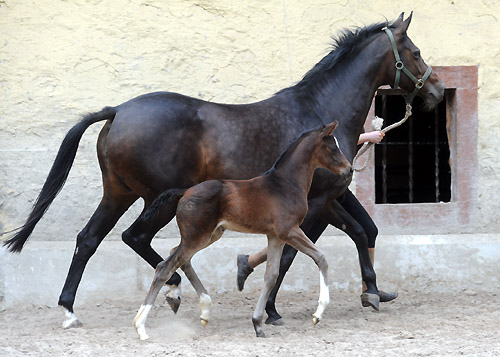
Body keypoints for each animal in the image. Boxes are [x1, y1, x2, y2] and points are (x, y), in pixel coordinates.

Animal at [133, 120, 352, 340]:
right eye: (332, 147)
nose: (349, 169)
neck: (286, 184)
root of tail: (184, 192)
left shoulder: (275, 236)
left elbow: (271, 275)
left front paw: (258, 324)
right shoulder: (289, 231)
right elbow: (321, 258)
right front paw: (318, 314)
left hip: (208, 235)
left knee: (179, 259)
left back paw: (203, 309)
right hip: (197, 237)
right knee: (165, 267)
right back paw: (141, 326)